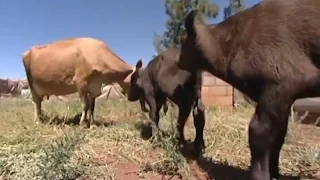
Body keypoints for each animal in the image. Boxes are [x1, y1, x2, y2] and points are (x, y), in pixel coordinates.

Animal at [179, 0, 320, 179]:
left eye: (183, 42)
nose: (178, 62)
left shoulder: (279, 85)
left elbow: (259, 131)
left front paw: (261, 174)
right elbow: (278, 135)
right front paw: (275, 173)